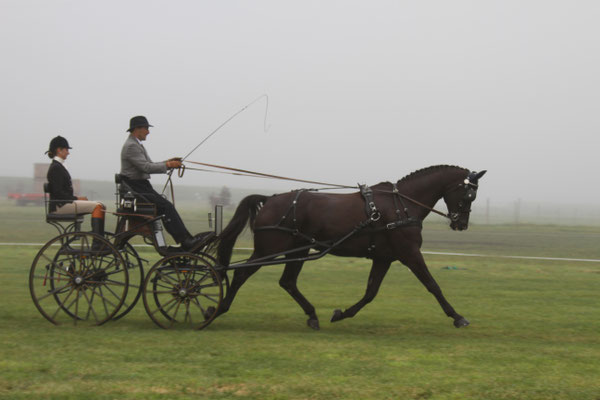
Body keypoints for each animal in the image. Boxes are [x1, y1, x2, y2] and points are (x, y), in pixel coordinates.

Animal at [213, 164, 486, 330]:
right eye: (468, 195)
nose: (461, 224)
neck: (401, 205)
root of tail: (270, 200)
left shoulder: (384, 258)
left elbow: (370, 292)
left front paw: (342, 313)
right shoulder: (410, 254)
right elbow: (432, 285)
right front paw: (457, 317)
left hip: (299, 250)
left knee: (287, 282)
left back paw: (312, 315)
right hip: (269, 250)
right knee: (241, 273)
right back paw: (218, 309)